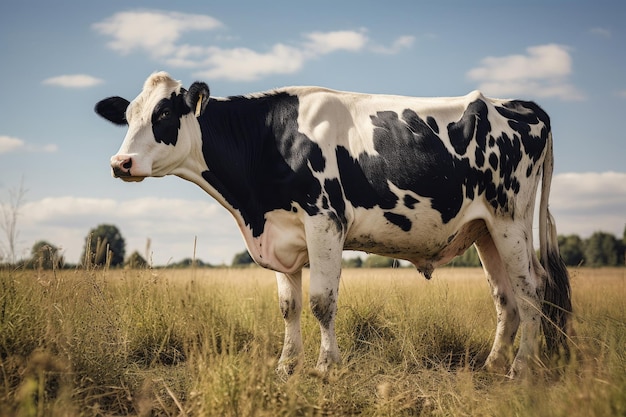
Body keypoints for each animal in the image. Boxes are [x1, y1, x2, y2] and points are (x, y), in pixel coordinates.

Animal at [94, 71, 572, 376]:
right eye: (129, 116)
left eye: (163, 116)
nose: (120, 163)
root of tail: (519, 105)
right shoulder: (282, 233)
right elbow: (288, 306)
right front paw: (286, 365)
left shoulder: (324, 219)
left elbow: (323, 301)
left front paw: (326, 367)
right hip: (484, 229)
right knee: (505, 297)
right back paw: (492, 365)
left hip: (510, 218)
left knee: (532, 290)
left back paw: (521, 368)